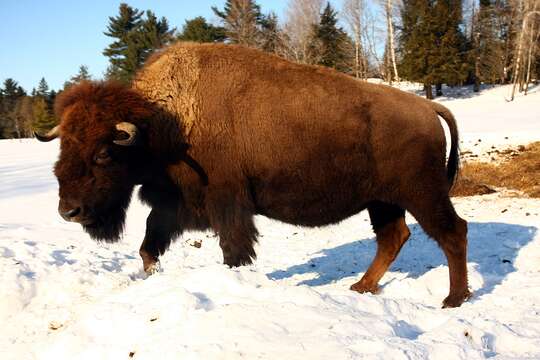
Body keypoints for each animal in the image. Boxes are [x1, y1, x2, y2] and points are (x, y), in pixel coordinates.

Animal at [35, 41, 470, 306]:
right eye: (64, 146)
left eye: (103, 153)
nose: (69, 211)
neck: (164, 122)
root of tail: (427, 107)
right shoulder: (175, 205)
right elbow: (149, 245)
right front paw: (151, 275)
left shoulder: (227, 204)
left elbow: (233, 249)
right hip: (382, 201)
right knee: (393, 238)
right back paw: (362, 287)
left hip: (421, 193)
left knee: (452, 232)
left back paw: (453, 299)